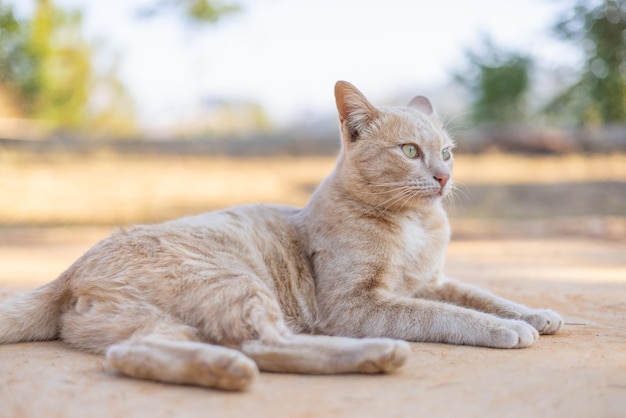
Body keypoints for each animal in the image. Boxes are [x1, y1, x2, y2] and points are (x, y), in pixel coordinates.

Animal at [0, 81, 564, 392]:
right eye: (409, 151)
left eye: (446, 153)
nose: (444, 177)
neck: (415, 228)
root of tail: (70, 271)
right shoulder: (358, 305)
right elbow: (448, 314)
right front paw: (506, 329)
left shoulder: (434, 281)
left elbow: (483, 295)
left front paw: (535, 314)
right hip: (234, 283)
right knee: (265, 345)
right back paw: (376, 354)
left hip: (157, 322)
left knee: (134, 353)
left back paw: (222, 369)